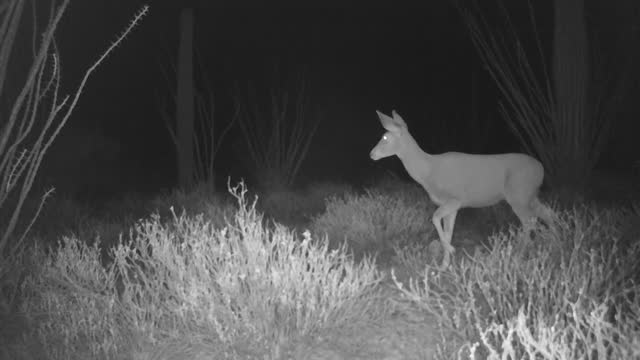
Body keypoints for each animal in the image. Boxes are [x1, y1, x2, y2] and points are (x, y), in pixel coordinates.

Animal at [372, 109, 548, 268]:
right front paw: (444, 265)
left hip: (519, 195)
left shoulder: (455, 199)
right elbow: (448, 230)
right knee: (547, 214)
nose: (371, 154)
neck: (429, 172)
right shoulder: (451, 205)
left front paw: (450, 250)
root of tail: (541, 169)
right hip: (530, 195)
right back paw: (548, 244)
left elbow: (435, 218)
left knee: (529, 222)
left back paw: (521, 254)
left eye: (385, 137)